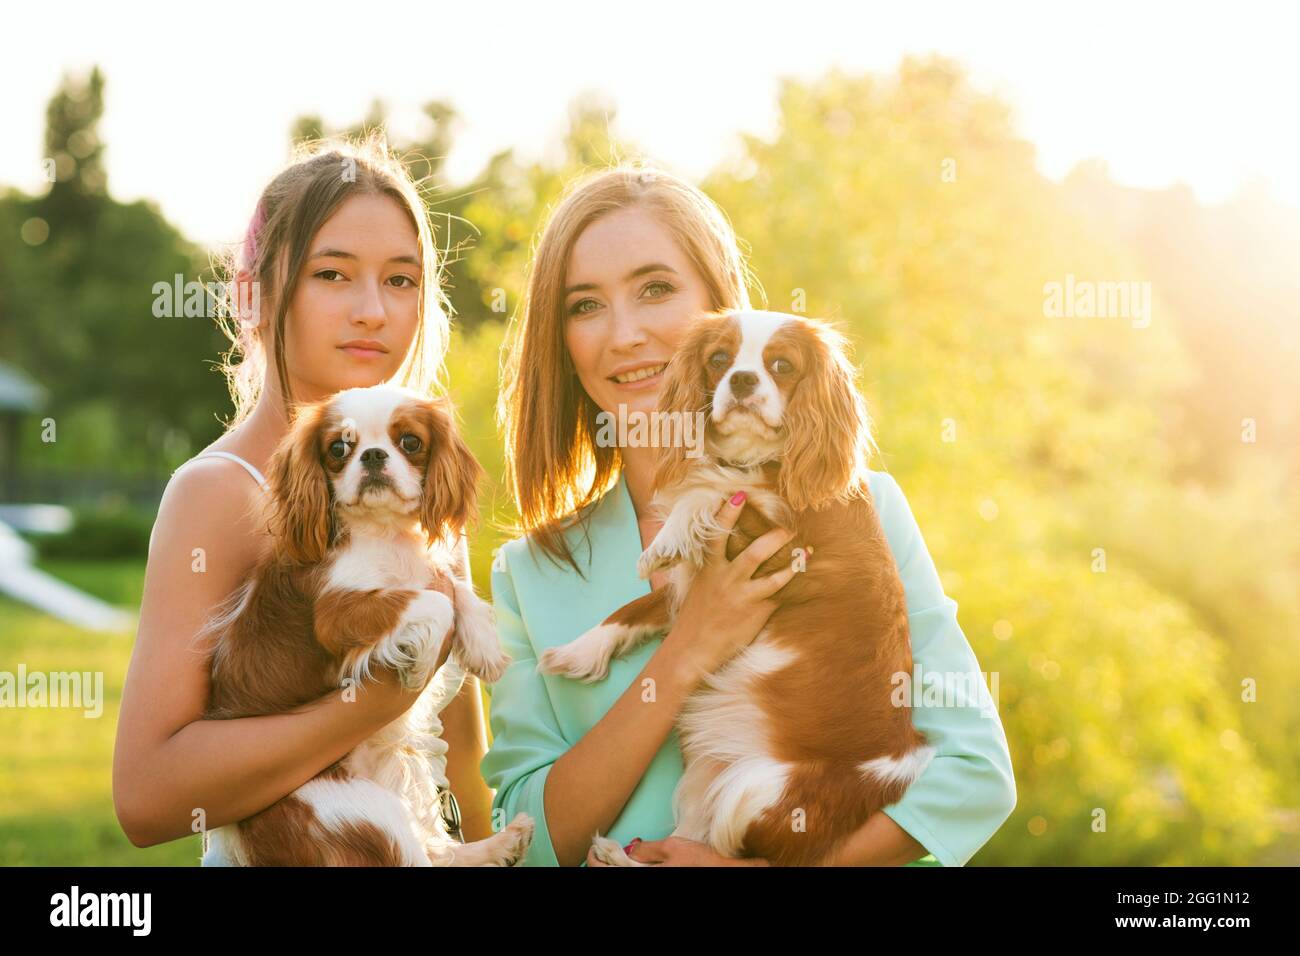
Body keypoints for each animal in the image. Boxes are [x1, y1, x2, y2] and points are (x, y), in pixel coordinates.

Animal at [191, 382, 533, 868]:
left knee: (439, 847)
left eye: (410, 442)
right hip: (364, 810)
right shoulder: (335, 614)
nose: (372, 455)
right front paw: (420, 664)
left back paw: (504, 843)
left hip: (400, 775)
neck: (386, 535)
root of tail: (241, 836)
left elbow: (453, 589)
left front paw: (484, 646)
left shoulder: (426, 574)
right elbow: (434, 601)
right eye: (338, 448)